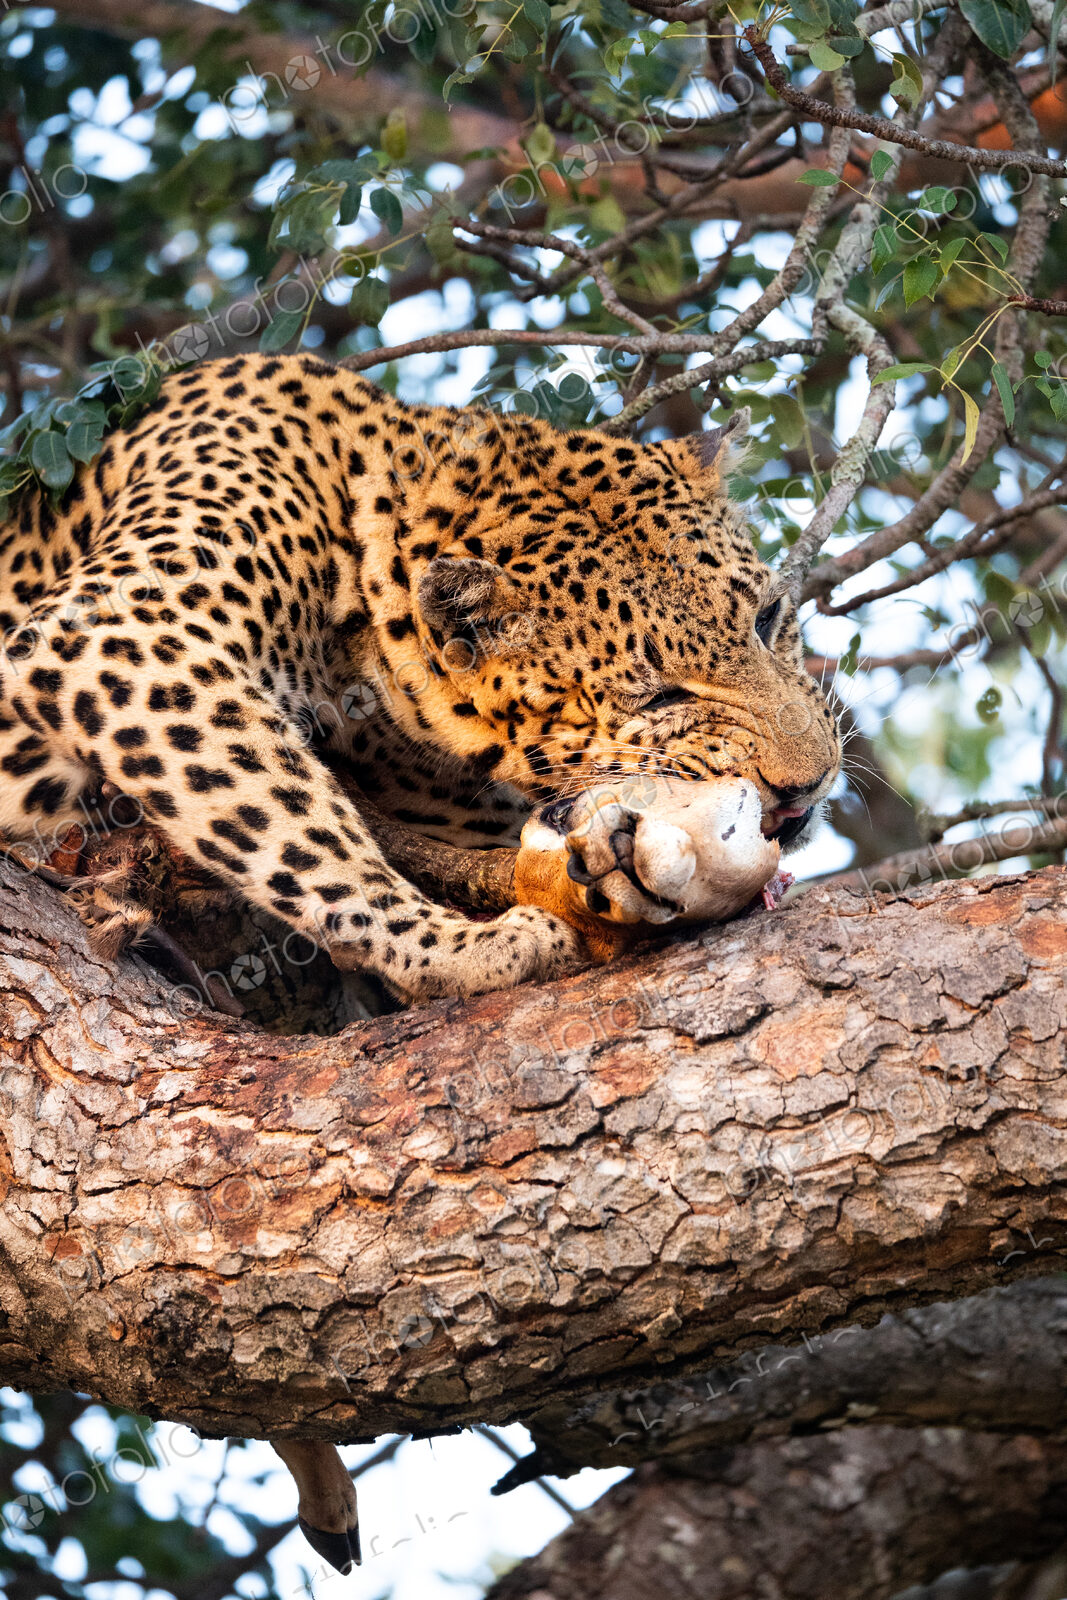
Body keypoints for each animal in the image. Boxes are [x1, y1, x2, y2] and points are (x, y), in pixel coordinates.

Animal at [0, 351, 840, 1566]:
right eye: (657, 693)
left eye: (770, 617)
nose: (807, 784)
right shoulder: (128, 629)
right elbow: (302, 838)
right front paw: (475, 950)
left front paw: (605, 874)